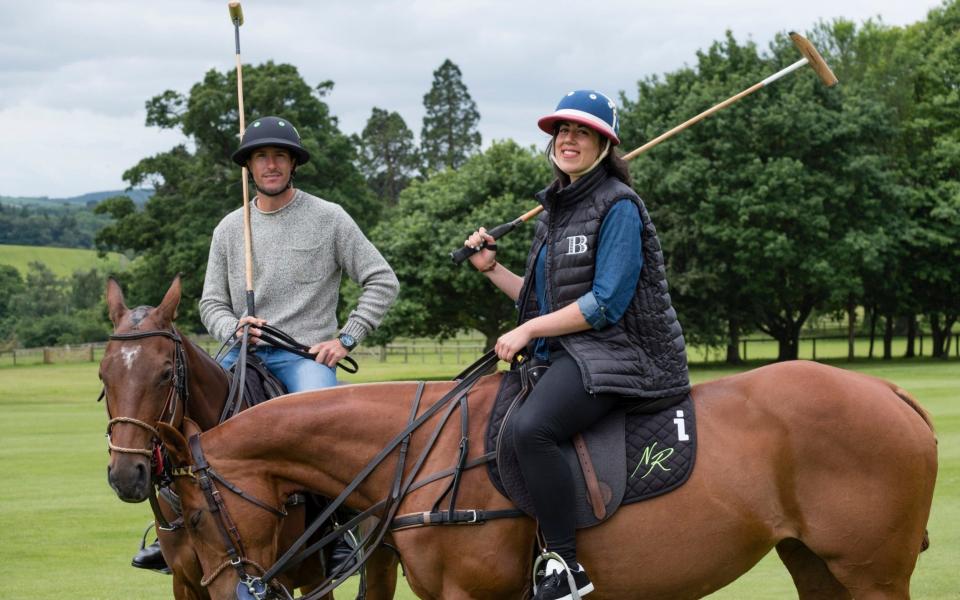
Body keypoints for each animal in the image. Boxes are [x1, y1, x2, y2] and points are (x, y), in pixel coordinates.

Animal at [159, 356, 936, 600]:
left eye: (196, 514)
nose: (232, 595)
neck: (420, 451)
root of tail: (891, 391)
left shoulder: (473, 594)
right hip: (815, 563)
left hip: (874, 571)